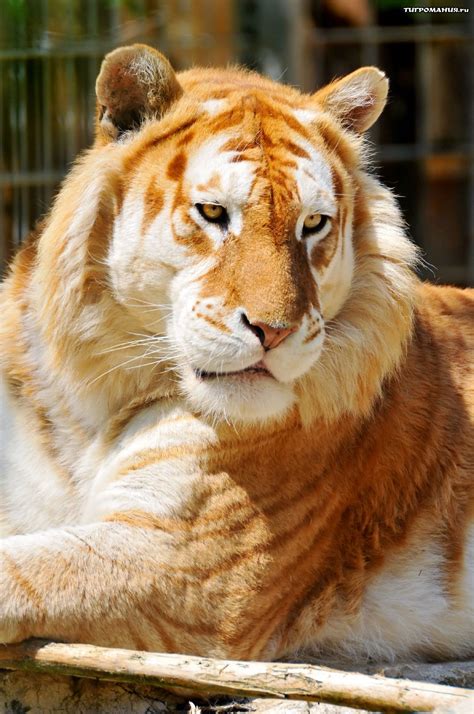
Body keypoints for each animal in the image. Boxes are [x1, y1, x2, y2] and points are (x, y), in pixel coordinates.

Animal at [0, 44, 473, 664]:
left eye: (313, 223)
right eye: (213, 213)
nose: (273, 331)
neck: (92, 392)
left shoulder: (191, 568)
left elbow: (19, 571)